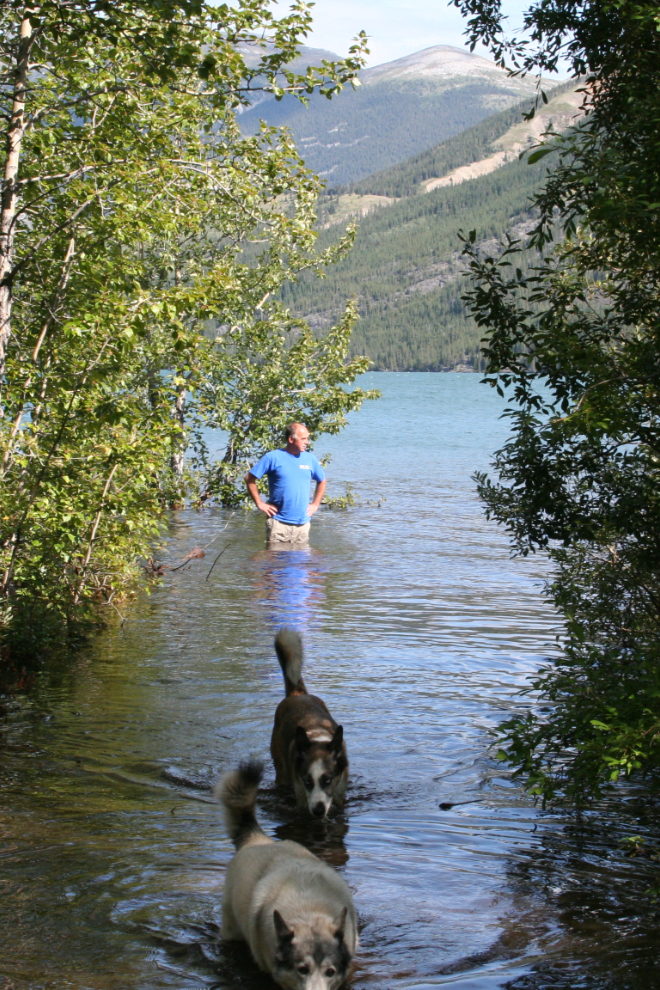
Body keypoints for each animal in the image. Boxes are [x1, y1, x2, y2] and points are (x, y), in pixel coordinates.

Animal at [270, 632, 348, 816]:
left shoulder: (340, 789)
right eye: (307, 781)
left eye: (327, 780)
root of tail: (297, 694)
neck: (319, 739)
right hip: (281, 769)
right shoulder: (301, 793)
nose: (318, 810)